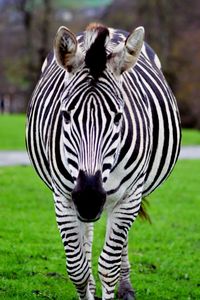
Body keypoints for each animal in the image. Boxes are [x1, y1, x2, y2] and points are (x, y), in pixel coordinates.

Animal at [25, 23, 181, 300]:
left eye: (118, 117)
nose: (89, 198)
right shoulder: (63, 198)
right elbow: (77, 269)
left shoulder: (130, 196)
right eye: (65, 115)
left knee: (119, 246)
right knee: (87, 241)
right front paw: (86, 287)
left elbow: (109, 266)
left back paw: (126, 287)